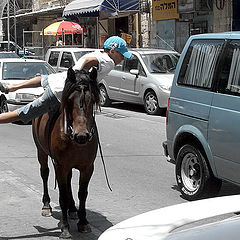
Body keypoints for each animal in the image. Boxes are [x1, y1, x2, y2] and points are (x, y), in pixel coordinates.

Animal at [31, 67, 99, 238]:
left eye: (92, 100)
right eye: (69, 100)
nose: (81, 135)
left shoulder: (88, 167)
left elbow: (83, 193)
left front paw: (83, 221)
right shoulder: (60, 165)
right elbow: (62, 196)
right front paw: (65, 227)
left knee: (68, 181)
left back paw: (72, 208)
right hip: (41, 152)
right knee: (45, 173)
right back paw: (47, 205)